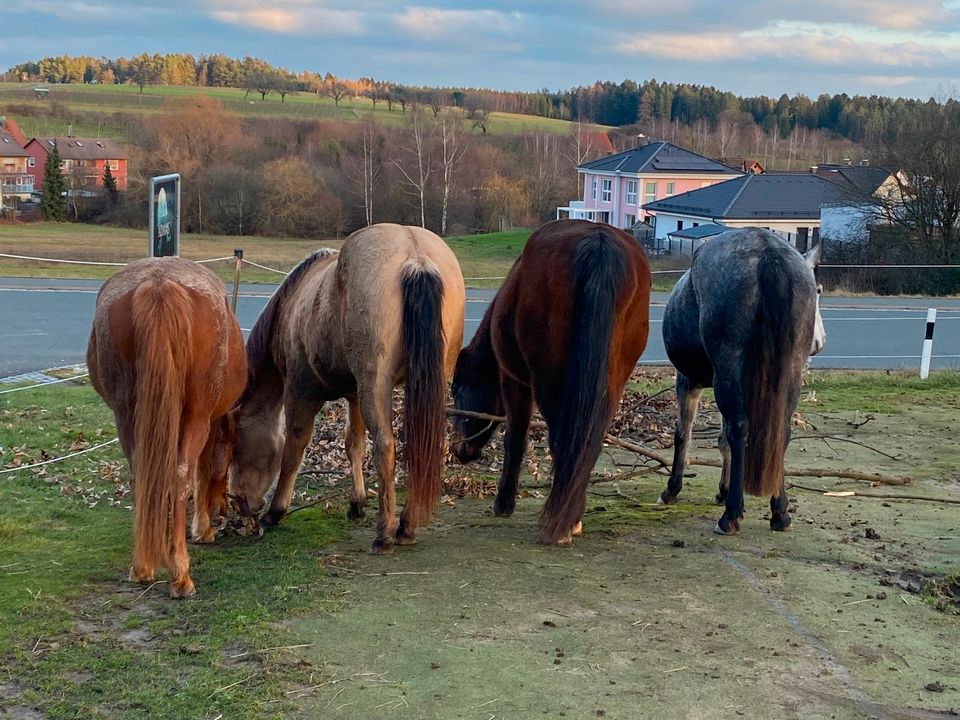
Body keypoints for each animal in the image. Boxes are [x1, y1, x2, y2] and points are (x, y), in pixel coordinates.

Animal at [85, 258, 248, 596]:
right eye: (232, 452)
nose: (223, 508)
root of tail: (159, 282)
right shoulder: (209, 422)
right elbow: (201, 472)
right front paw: (202, 528)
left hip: (127, 416)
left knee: (143, 474)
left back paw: (142, 566)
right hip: (195, 418)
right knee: (179, 475)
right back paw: (181, 575)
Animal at [231, 222, 466, 556]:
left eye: (236, 448)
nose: (240, 503)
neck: (292, 305)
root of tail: (416, 258)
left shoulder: (300, 394)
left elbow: (293, 449)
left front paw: (275, 512)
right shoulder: (354, 395)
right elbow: (353, 443)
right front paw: (357, 503)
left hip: (376, 386)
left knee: (385, 446)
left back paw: (386, 534)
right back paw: (406, 525)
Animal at [450, 219, 652, 544]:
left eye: (456, 389)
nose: (459, 449)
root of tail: (599, 244)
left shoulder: (514, 383)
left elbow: (515, 439)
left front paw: (503, 504)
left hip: (550, 384)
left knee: (563, 439)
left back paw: (563, 521)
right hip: (611, 382)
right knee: (588, 441)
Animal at [656, 228, 828, 536]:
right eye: (818, 291)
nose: (818, 343)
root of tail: (767, 253)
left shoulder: (688, 381)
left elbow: (684, 434)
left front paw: (672, 489)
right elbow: (722, 439)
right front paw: (722, 490)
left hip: (727, 368)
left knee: (739, 429)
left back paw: (731, 515)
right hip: (788, 375)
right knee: (780, 432)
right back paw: (780, 512)